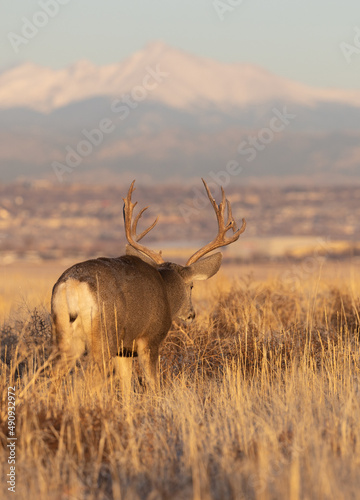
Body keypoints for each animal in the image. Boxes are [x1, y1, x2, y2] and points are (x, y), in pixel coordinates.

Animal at [50, 178, 246, 392]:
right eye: (192, 286)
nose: (191, 313)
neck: (166, 289)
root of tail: (73, 284)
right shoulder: (149, 339)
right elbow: (153, 383)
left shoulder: (124, 349)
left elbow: (126, 386)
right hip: (103, 336)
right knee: (91, 379)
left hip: (64, 333)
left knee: (54, 374)